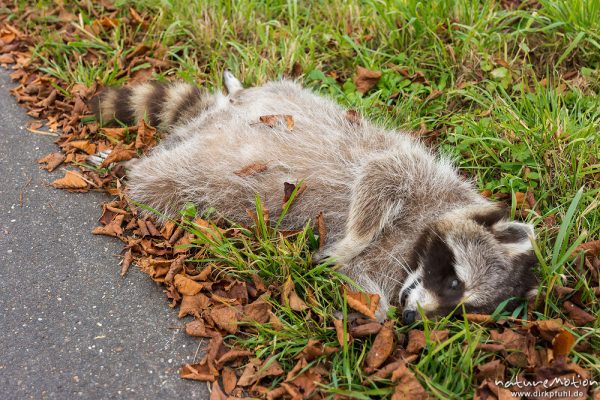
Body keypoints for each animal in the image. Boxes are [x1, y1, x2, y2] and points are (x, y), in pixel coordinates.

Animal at [94, 70, 540, 324]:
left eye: (458, 311)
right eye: (452, 281)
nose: (414, 318)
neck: (416, 240)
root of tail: (211, 119)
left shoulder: (388, 269)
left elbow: (362, 284)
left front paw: (374, 310)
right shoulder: (423, 175)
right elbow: (381, 173)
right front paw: (352, 240)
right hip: (276, 102)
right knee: (154, 180)